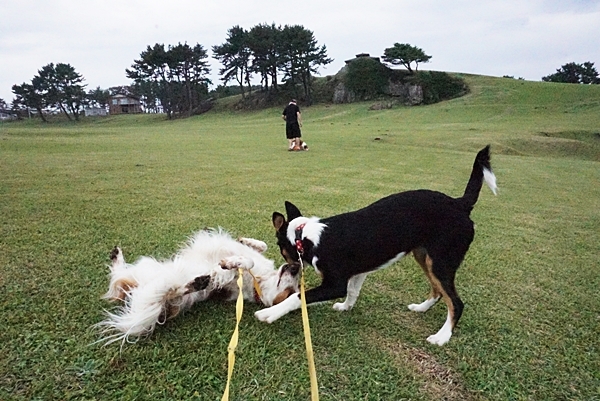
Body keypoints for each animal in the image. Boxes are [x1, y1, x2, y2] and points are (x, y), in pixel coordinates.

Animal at [98, 228, 300, 344]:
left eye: (292, 292)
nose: (296, 267)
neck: (261, 278)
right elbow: (261, 247)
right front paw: (245, 244)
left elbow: (237, 267)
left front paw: (230, 264)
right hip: (144, 269)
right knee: (119, 275)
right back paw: (117, 256)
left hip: (157, 283)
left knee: (168, 292)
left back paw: (197, 282)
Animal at [256, 145, 496, 346]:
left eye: (280, 249)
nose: (291, 267)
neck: (305, 236)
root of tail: (459, 203)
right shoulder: (358, 272)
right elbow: (351, 292)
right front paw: (345, 307)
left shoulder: (335, 283)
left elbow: (298, 297)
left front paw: (271, 313)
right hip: (424, 257)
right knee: (438, 292)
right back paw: (421, 308)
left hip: (440, 262)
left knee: (456, 303)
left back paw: (442, 336)